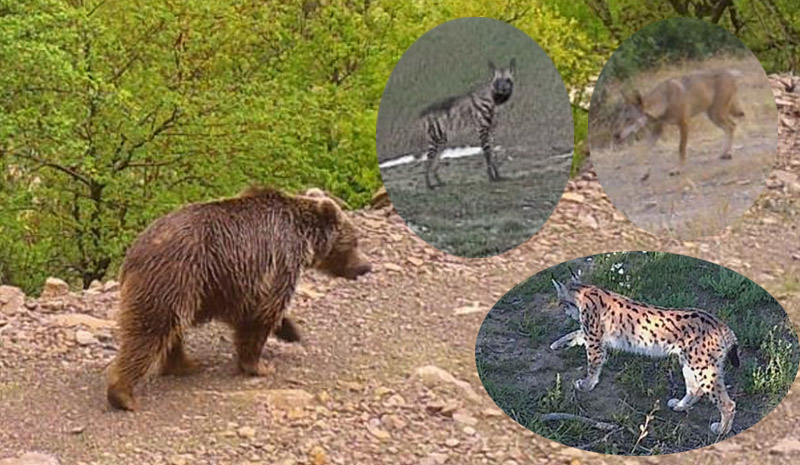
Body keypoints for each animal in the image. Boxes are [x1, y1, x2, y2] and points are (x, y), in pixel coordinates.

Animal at [106, 185, 372, 410]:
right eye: (355, 240)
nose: (366, 267)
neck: (304, 238)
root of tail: (132, 256)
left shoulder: (234, 283)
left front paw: (291, 331)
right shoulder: (278, 261)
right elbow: (262, 316)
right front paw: (260, 366)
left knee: (172, 329)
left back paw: (185, 365)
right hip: (176, 277)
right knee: (150, 331)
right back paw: (123, 395)